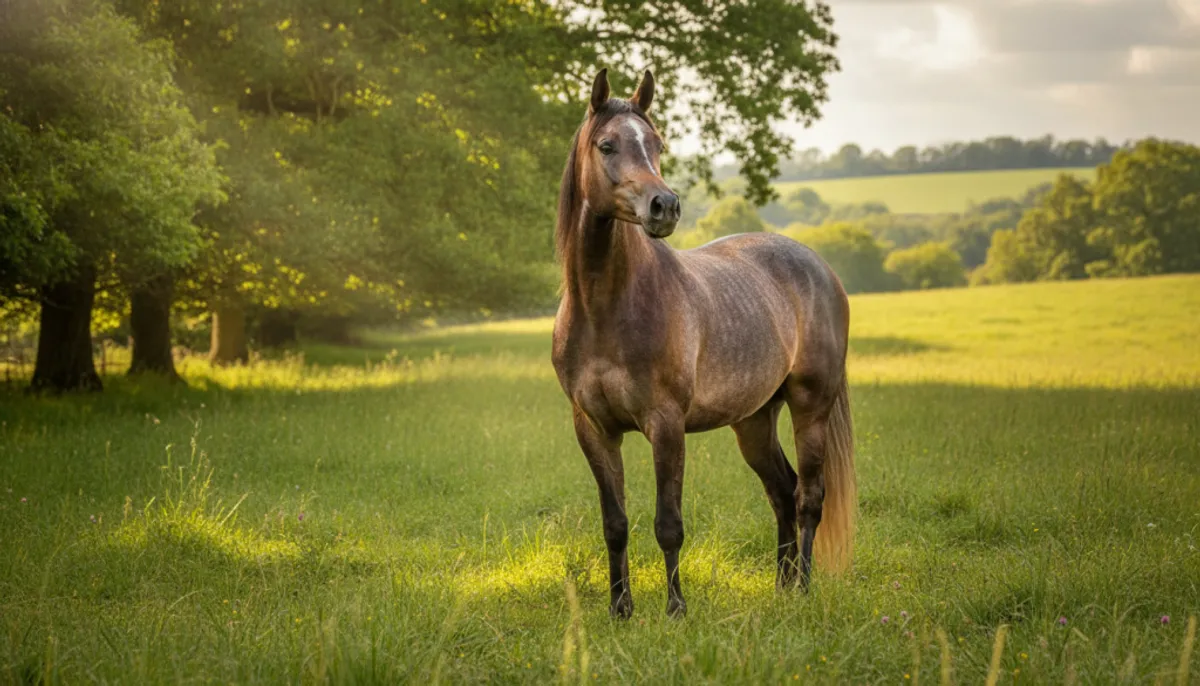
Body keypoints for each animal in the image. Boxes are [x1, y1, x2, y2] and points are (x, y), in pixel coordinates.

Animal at [551, 68, 856, 618]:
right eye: (607, 145)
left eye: (657, 144)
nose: (665, 206)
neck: (607, 307)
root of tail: (819, 266)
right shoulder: (593, 429)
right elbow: (615, 524)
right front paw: (620, 610)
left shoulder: (666, 424)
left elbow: (668, 525)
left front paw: (675, 609)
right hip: (754, 420)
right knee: (782, 491)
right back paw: (780, 587)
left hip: (810, 407)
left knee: (808, 498)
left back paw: (802, 586)